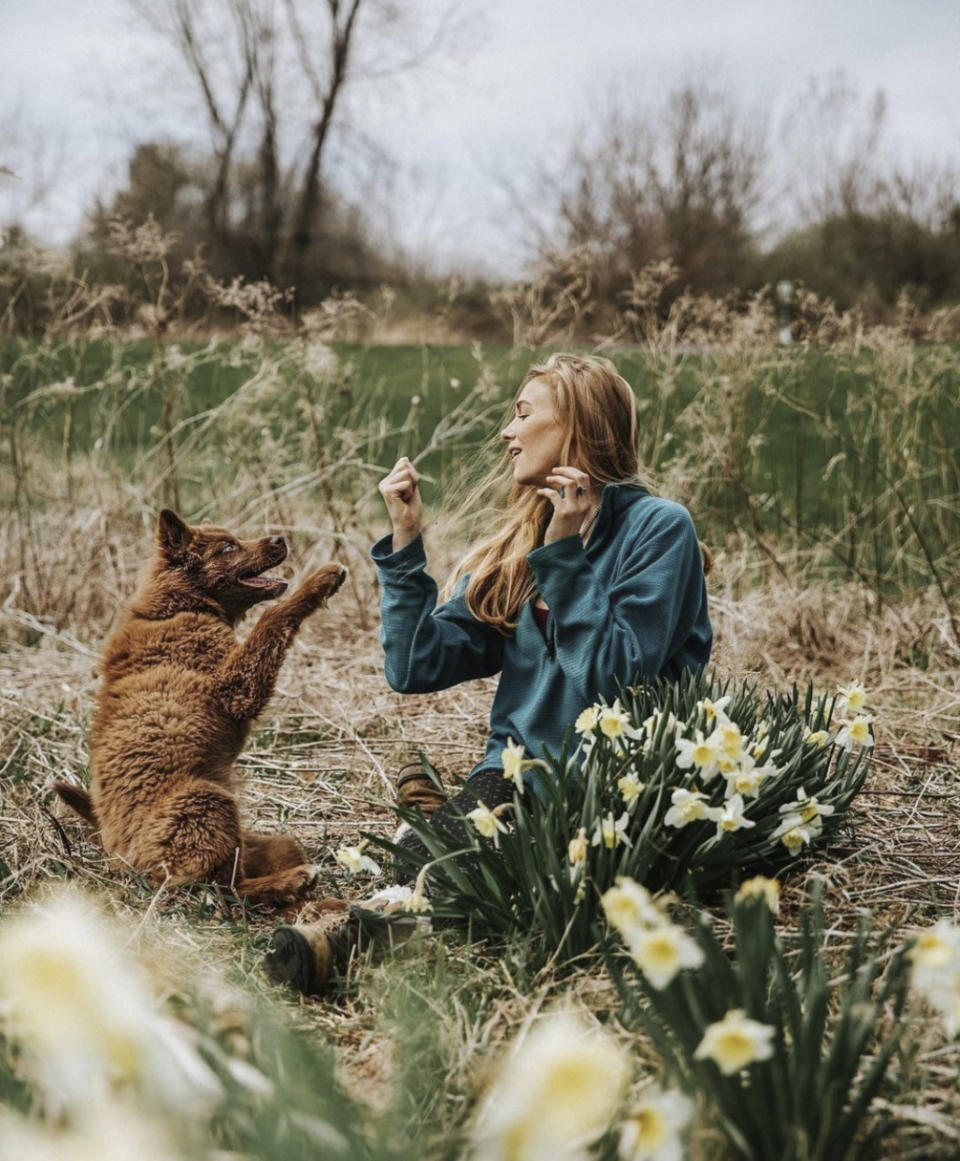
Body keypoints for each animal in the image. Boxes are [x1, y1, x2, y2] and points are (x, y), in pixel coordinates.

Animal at [52, 510, 345, 905]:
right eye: (228, 547)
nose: (280, 539)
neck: (178, 606)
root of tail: (117, 852)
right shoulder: (236, 687)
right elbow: (273, 618)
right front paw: (323, 578)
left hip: (255, 838)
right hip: (206, 801)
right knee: (223, 888)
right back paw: (293, 881)